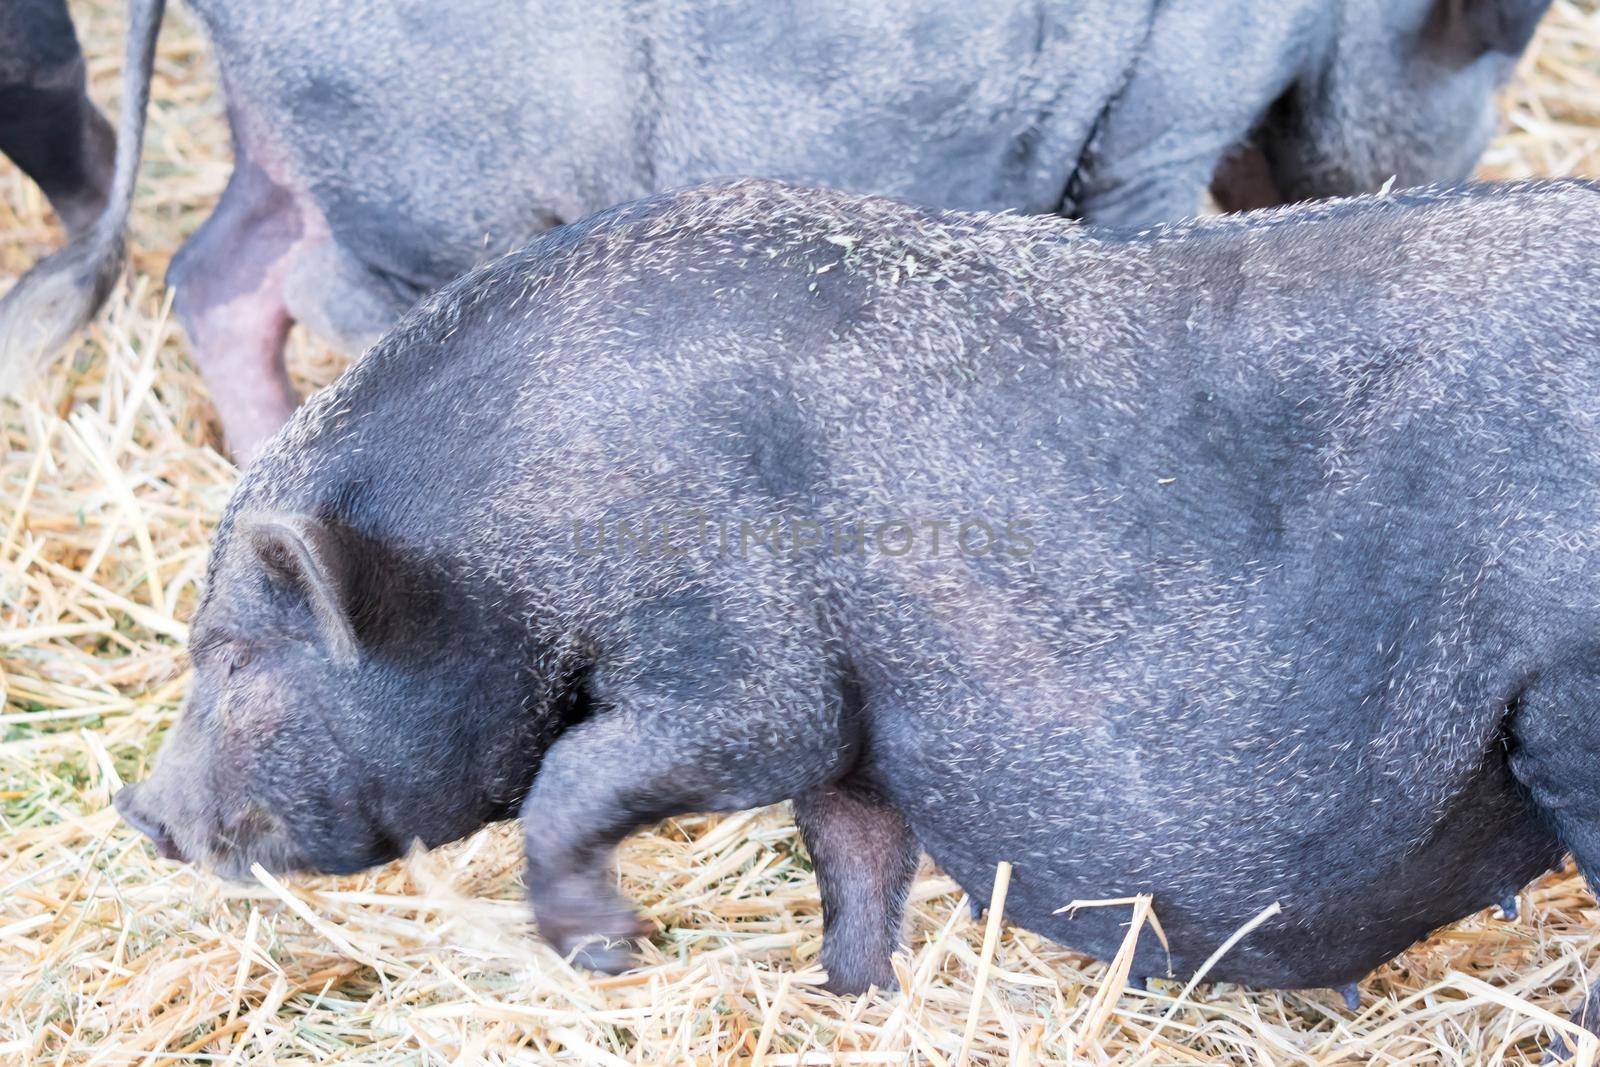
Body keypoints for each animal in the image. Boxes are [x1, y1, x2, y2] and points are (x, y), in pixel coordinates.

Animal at [0, 0, 1548, 460]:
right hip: (425, 174)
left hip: (295, 136)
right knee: (321, 291)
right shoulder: (1165, 120)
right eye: (1478, 59)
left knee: (220, 270)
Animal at [121, 177, 1600, 1017]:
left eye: (234, 655)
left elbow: (586, 772)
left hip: (1571, 706)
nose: (139, 808)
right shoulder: (859, 719)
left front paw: (606, 954)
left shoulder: (740, 662)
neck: (526, 516)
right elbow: (852, 852)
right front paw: (847, 1000)